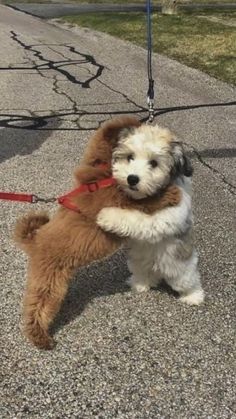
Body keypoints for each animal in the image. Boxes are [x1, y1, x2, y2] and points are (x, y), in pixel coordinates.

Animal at [14, 116, 181, 350]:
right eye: (131, 156)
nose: (132, 178)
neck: (102, 177)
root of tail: (35, 240)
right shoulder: (119, 200)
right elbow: (145, 201)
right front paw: (170, 193)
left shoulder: (95, 161)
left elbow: (101, 137)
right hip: (49, 281)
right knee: (37, 307)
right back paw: (40, 337)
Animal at [97, 124, 204, 306]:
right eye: (130, 157)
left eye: (154, 163)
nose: (132, 179)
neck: (151, 196)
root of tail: (157, 268)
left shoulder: (165, 217)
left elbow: (138, 219)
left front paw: (107, 216)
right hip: (138, 263)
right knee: (144, 274)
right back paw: (139, 284)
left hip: (181, 268)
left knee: (187, 281)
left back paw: (193, 296)